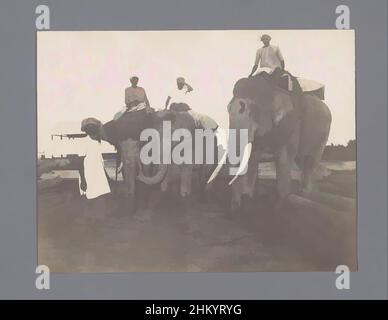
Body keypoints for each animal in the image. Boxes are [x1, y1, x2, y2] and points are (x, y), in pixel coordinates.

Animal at [208, 74, 332, 210]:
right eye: (228, 109)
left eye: (252, 111)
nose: (235, 210)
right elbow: (254, 155)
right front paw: (248, 198)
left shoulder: (291, 123)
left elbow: (284, 157)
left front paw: (280, 204)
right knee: (301, 161)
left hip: (323, 133)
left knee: (310, 162)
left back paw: (307, 193)